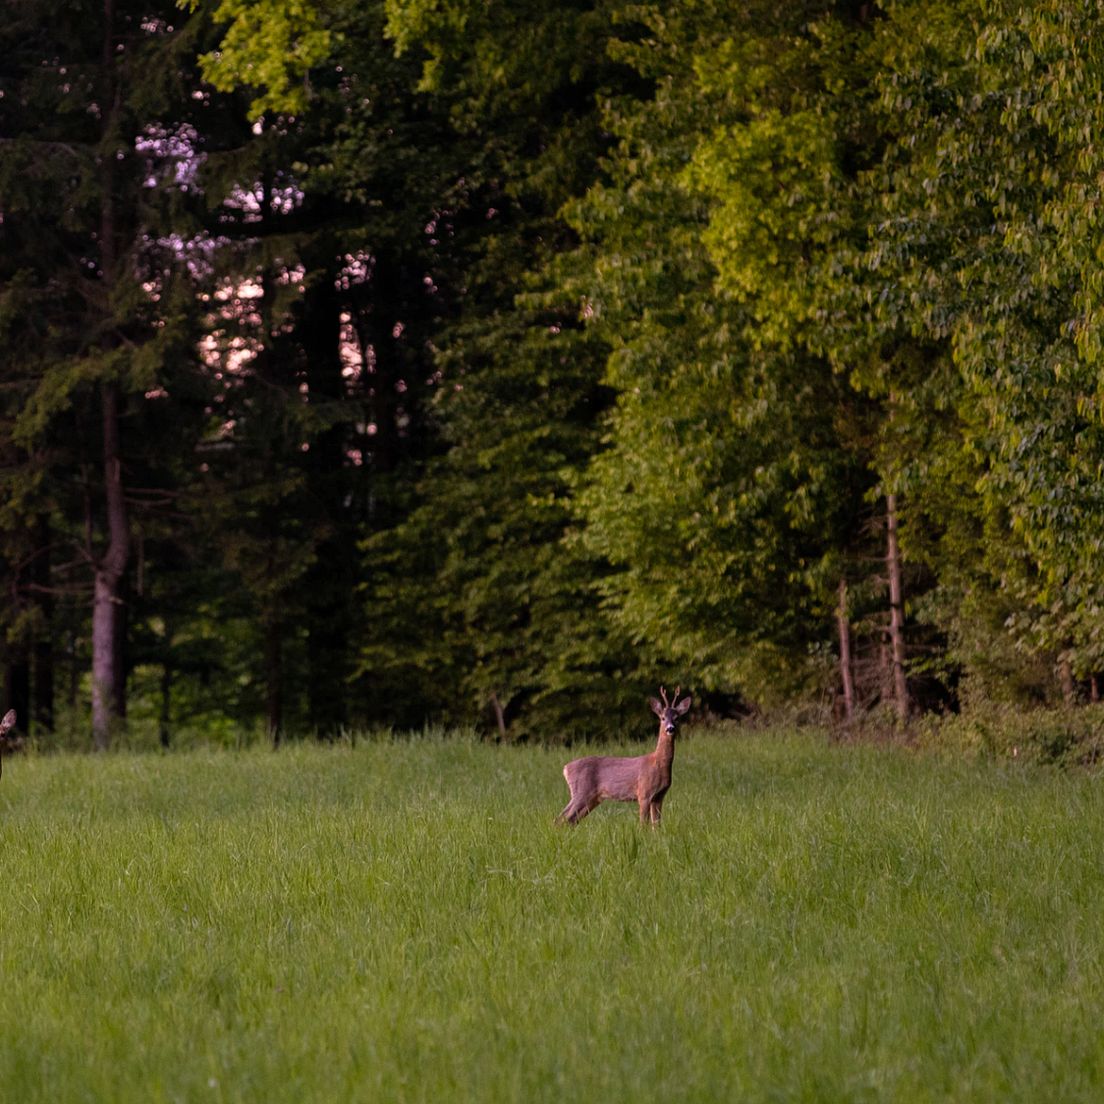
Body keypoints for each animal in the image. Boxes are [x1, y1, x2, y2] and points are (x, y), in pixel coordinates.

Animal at [556, 684, 693, 825]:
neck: (658, 763)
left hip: (592, 798)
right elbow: (643, 824)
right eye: (662, 718)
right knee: (561, 818)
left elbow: (656, 825)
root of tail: (566, 768)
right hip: (581, 792)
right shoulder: (644, 793)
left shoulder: (659, 796)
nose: (670, 728)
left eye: (677, 718)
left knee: (570, 820)